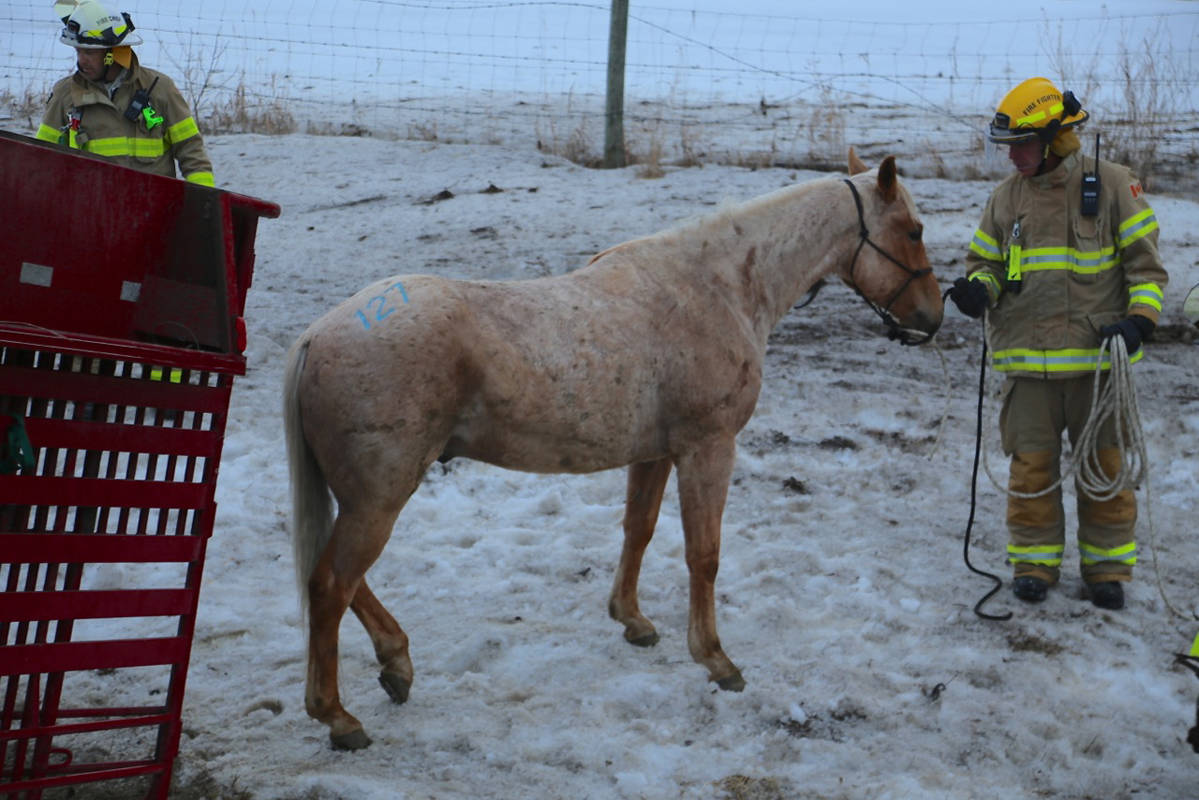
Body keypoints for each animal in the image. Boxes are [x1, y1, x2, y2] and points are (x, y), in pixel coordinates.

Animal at [282, 149, 944, 753]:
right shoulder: (708, 447)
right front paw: (715, 658)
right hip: (380, 498)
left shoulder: (655, 452)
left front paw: (633, 620)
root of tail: (317, 335)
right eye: (913, 231)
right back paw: (337, 716)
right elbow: (704, 555)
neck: (719, 286)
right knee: (331, 586)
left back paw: (395, 664)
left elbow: (639, 530)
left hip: (369, 499)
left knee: (341, 582)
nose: (933, 318)